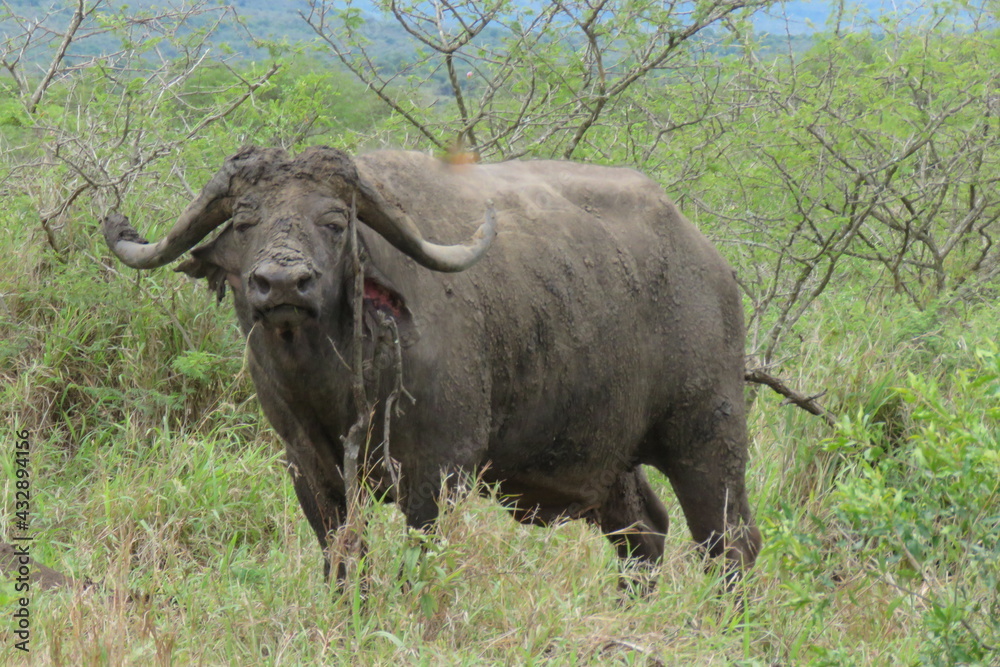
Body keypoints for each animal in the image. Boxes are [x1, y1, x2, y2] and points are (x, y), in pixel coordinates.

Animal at [99, 146, 756, 588]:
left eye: (335, 221)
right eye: (244, 220)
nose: (282, 282)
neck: (332, 380)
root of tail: (711, 264)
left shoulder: (440, 471)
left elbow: (420, 563)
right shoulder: (306, 467)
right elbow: (342, 559)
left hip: (708, 438)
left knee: (730, 542)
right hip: (607, 458)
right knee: (644, 531)